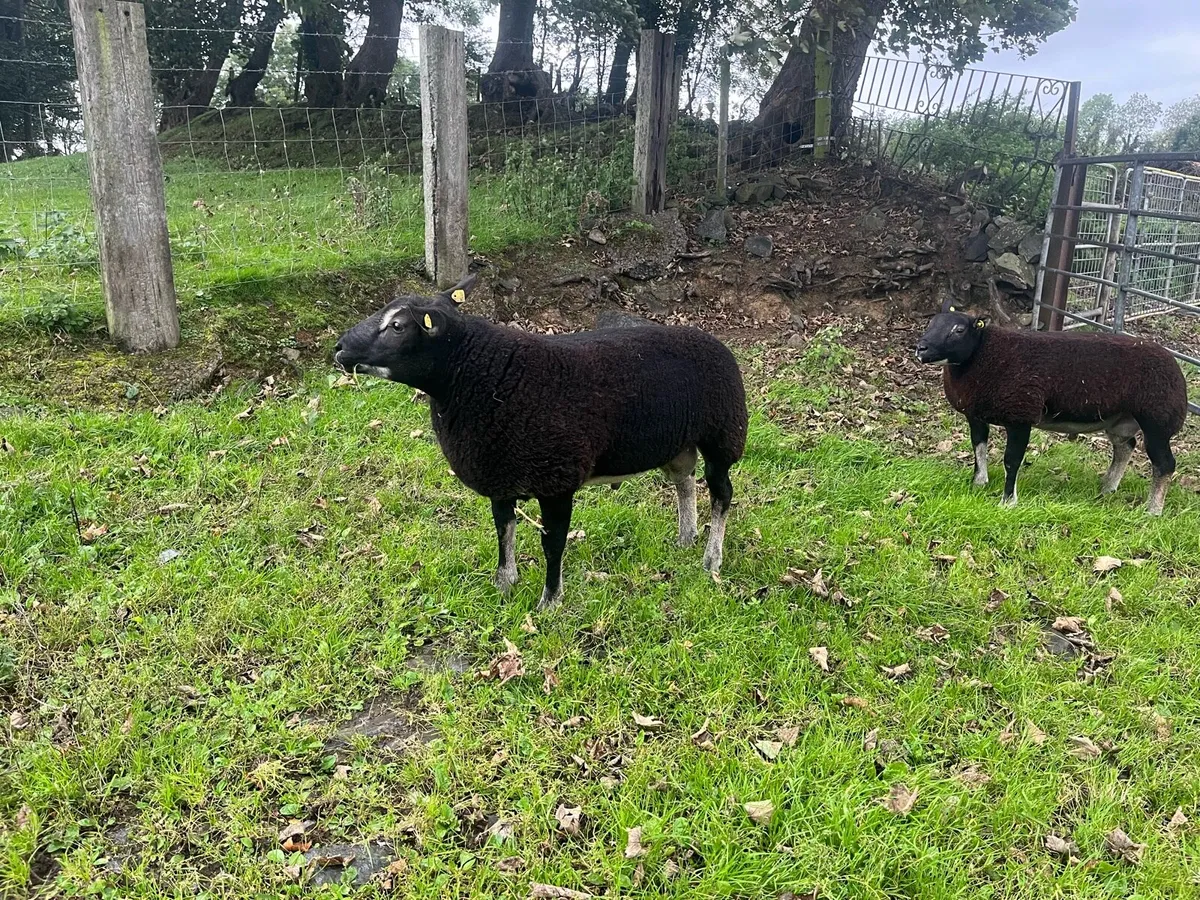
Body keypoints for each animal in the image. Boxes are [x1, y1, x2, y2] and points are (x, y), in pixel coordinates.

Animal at [333, 274, 749, 608]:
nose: (338, 348)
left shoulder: (557, 479)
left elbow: (553, 543)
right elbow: (504, 529)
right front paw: (504, 583)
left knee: (721, 493)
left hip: (722, 435)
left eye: (397, 326)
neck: (482, 376)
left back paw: (711, 558)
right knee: (683, 482)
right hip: (678, 441)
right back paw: (686, 537)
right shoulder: (500, 474)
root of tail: (713, 340)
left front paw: (550, 601)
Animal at [915, 298, 1188, 515]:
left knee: (1164, 464)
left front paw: (1007, 501)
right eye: (931, 323)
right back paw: (1107, 488)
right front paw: (978, 483)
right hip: (1121, 420)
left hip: (1157, 420)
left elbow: (1011, 460)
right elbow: (978, 448)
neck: (981, 355)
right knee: (1125, 447)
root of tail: (1175, 365)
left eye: (959, 330)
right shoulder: (975, 414)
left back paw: (1153, 511)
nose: (920, 348)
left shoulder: (1020, 416)